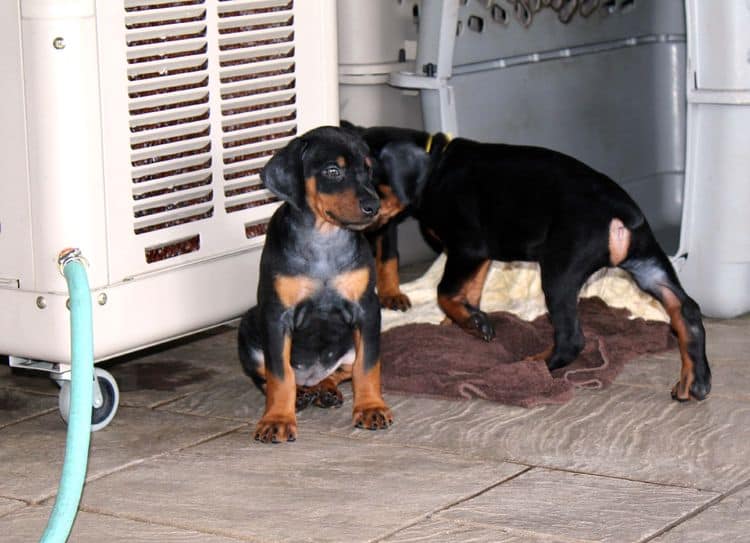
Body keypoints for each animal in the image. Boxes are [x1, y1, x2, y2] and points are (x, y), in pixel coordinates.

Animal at [239, 125, 394, 444]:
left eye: (368, 170)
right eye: (333, 171)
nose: (374, 206)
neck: (324, 239)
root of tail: (309, 377)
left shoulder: (367, 310)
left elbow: (367, 365)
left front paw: (371, 407)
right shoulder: (276, 315)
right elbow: (279, 374)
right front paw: (277, 420)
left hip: (349, 344)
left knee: (340, 371)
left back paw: (325, 389)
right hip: (250, 326)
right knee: (271, 377)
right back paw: (301, 395)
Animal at [362, 125, 712, 402]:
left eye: (366, 177)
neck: (435, 165)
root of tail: (620, 211)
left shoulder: (467, 248)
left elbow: (445, 291)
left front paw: (472, 322)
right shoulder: (479, 257)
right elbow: (469, 290)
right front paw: (464, 322)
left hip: (559, 272)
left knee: (571, 339)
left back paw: (534, 364)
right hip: (649, 265)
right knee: (686, 311)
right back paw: (694, 382)